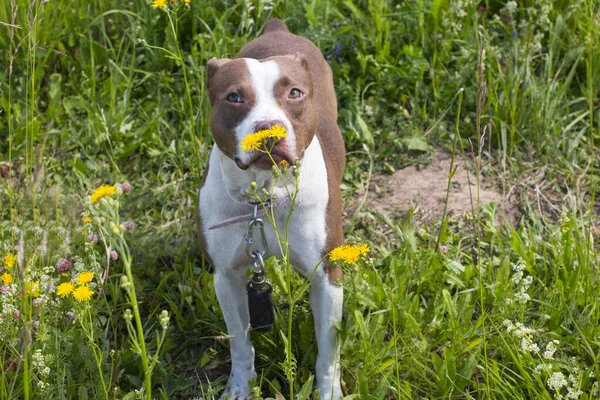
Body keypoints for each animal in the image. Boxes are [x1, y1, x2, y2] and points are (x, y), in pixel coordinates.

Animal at [199, 18, 344, 400]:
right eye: (234, 97)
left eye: (294, 93)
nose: (268, 130)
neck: (264, 199)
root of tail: (277, 28)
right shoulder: (227, 277)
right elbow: (239, 341)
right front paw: (241, 386)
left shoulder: (327, 275)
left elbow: (329, 349)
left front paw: (328, 390)